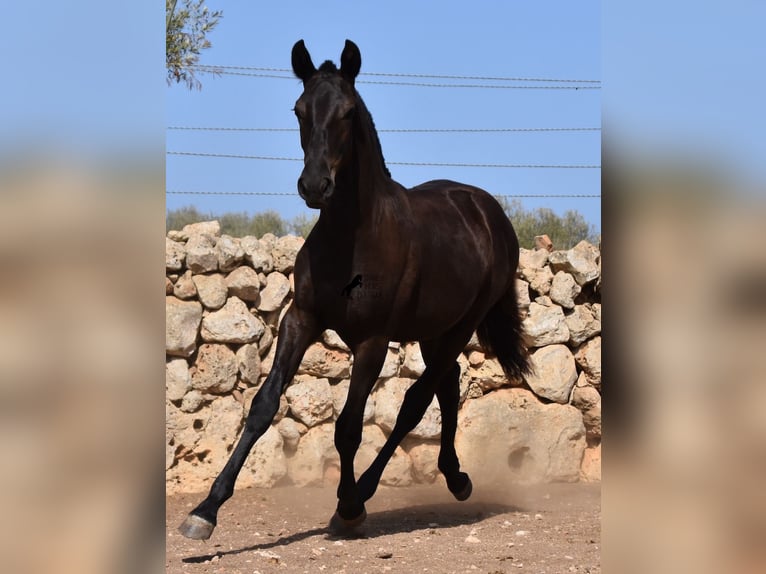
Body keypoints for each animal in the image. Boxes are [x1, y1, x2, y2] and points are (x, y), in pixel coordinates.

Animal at [178, 39, 536, 540]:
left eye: (348, 111)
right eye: (299, 109)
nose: (314, 185)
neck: (353, 238)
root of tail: (487, 211)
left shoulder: (373, 341)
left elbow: (348, 426)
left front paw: (347, 507)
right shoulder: (301, 319)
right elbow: (264, 405)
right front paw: (205, 511)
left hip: (461, 326)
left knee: (416, 402)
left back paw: (367, 492)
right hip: (434, 330)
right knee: (447, 387)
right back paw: (456, 478)